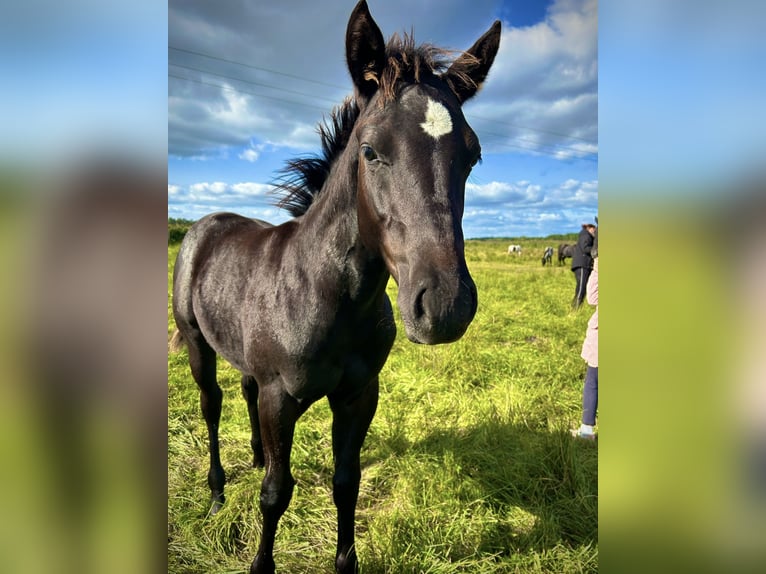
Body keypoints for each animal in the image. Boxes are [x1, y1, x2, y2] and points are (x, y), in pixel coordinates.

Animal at [170, 2, 501, 572]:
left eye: (473, 155)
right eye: (369, 150)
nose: (445, 306)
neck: (325, 295)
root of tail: (204, 225)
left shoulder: (358, 395)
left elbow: (346, 483)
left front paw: (347, 561)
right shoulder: (281, 398)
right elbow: (276, 493)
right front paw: (261, 562)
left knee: (244, 389)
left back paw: (254, 455)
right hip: (196, 344)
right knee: (212, 405)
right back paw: (216, 493)